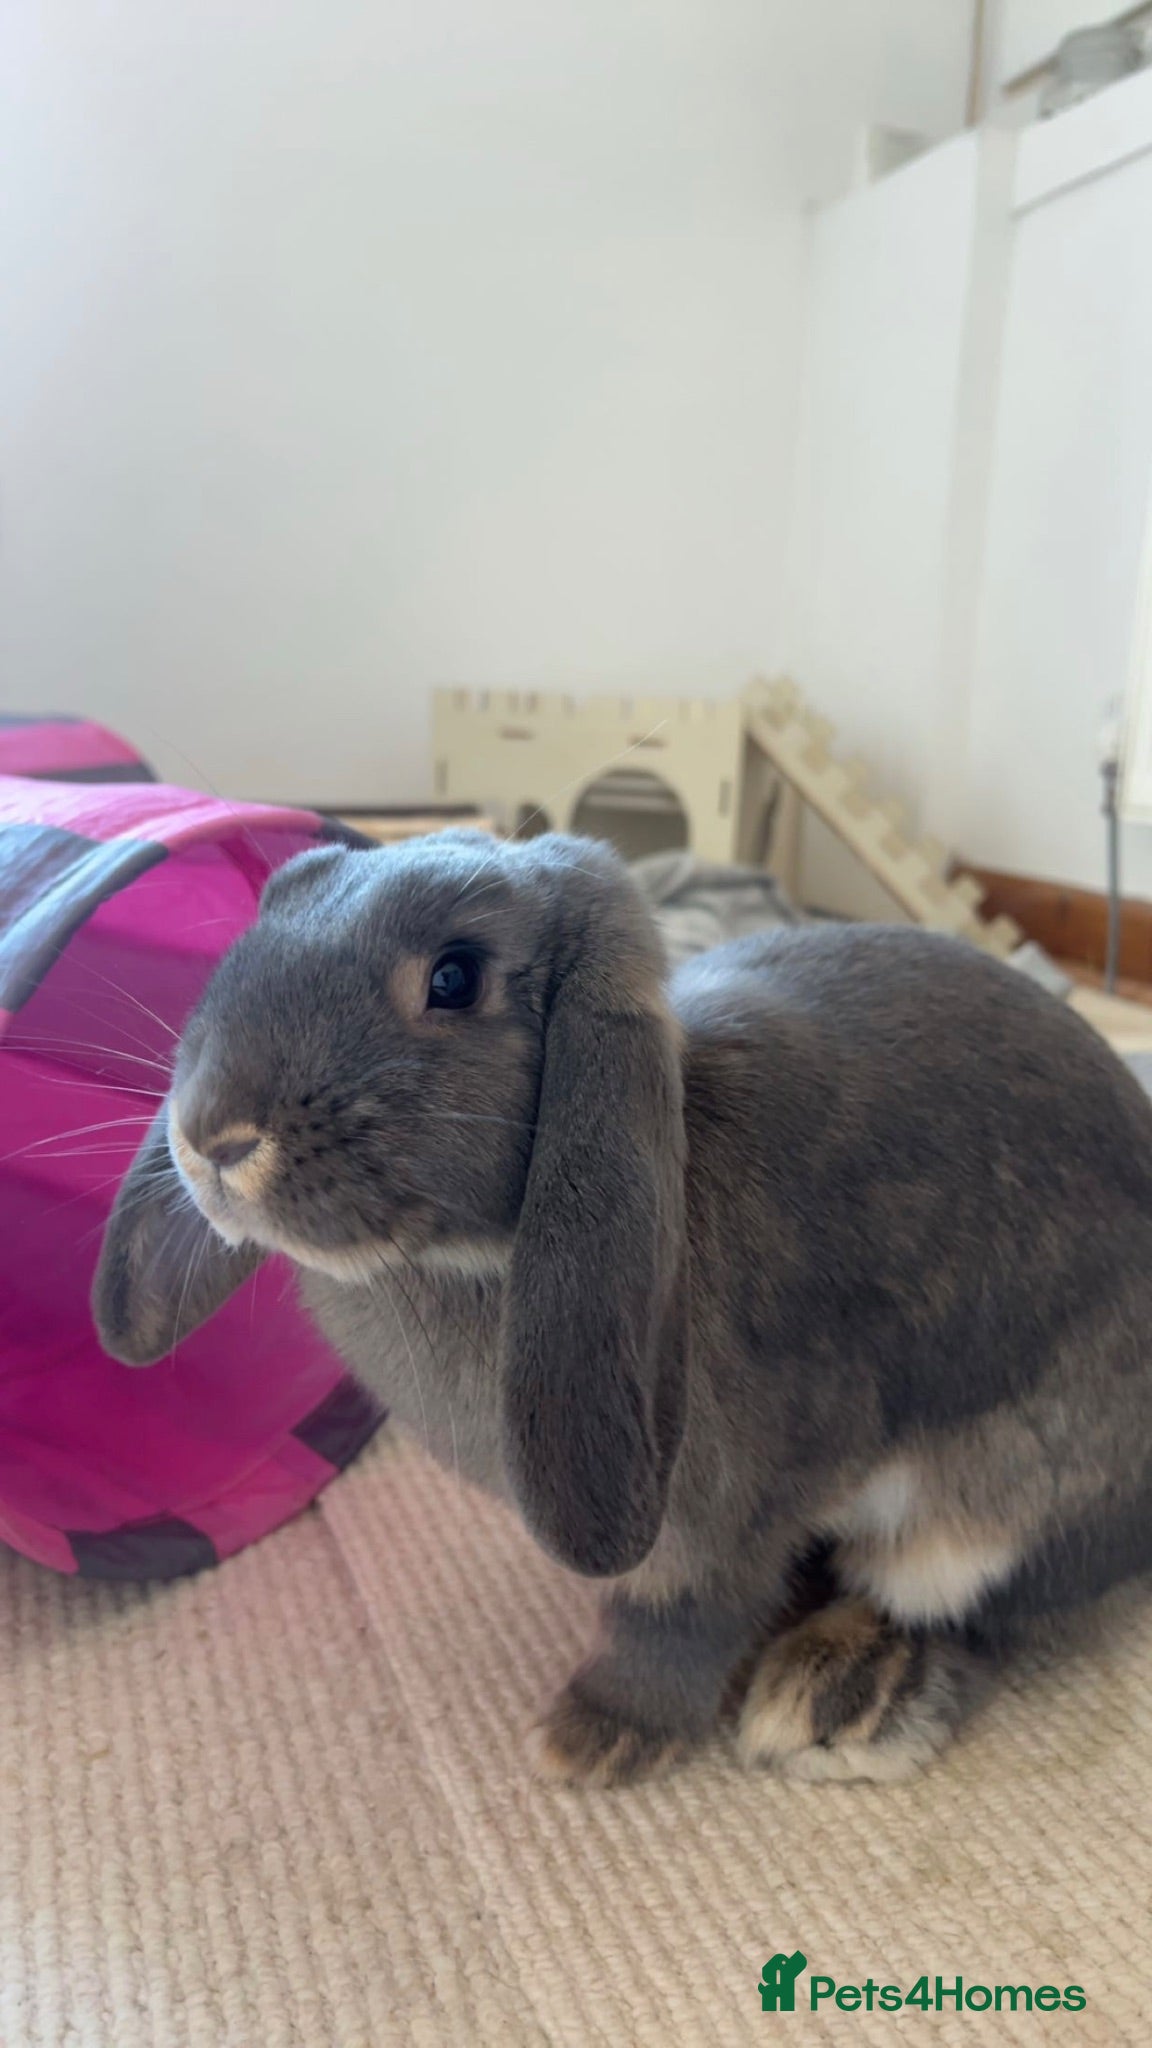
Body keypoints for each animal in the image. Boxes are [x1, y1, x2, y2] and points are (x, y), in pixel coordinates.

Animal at [93, 831, 1152, 1788]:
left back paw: (842, 1695)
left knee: (987, 1615)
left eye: (454, 978)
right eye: (260, 922)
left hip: (999, 1511)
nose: (211, 1136)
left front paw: (593, 1739)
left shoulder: (727, 1514)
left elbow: (680, 1618)